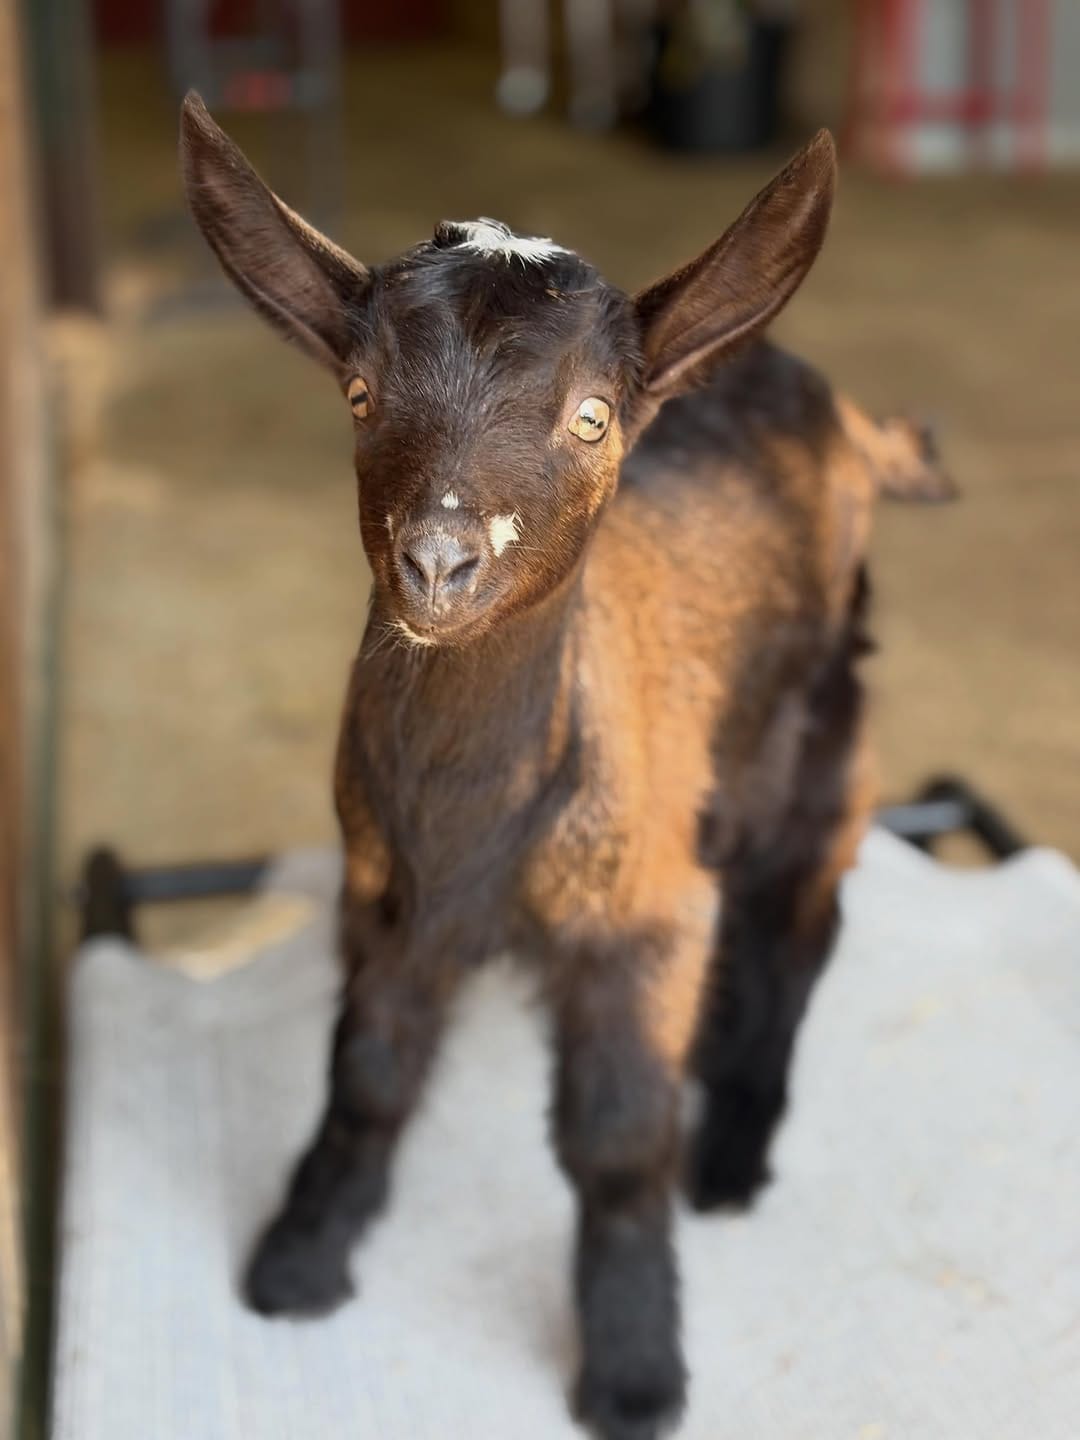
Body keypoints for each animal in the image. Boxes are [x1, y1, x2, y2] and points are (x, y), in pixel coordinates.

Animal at [181, 93, 949, 1440]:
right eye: (361, 395)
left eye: (591, 418)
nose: (439, 562)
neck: (476, 824)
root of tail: (832, 406)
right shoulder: (385, 898)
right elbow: (367, 1076)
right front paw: (301, 1260)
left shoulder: (635, 911)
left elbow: (618, 1139)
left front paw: (635, 1370)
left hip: (818, 725)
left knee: (803, 915)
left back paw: (735, 1149)